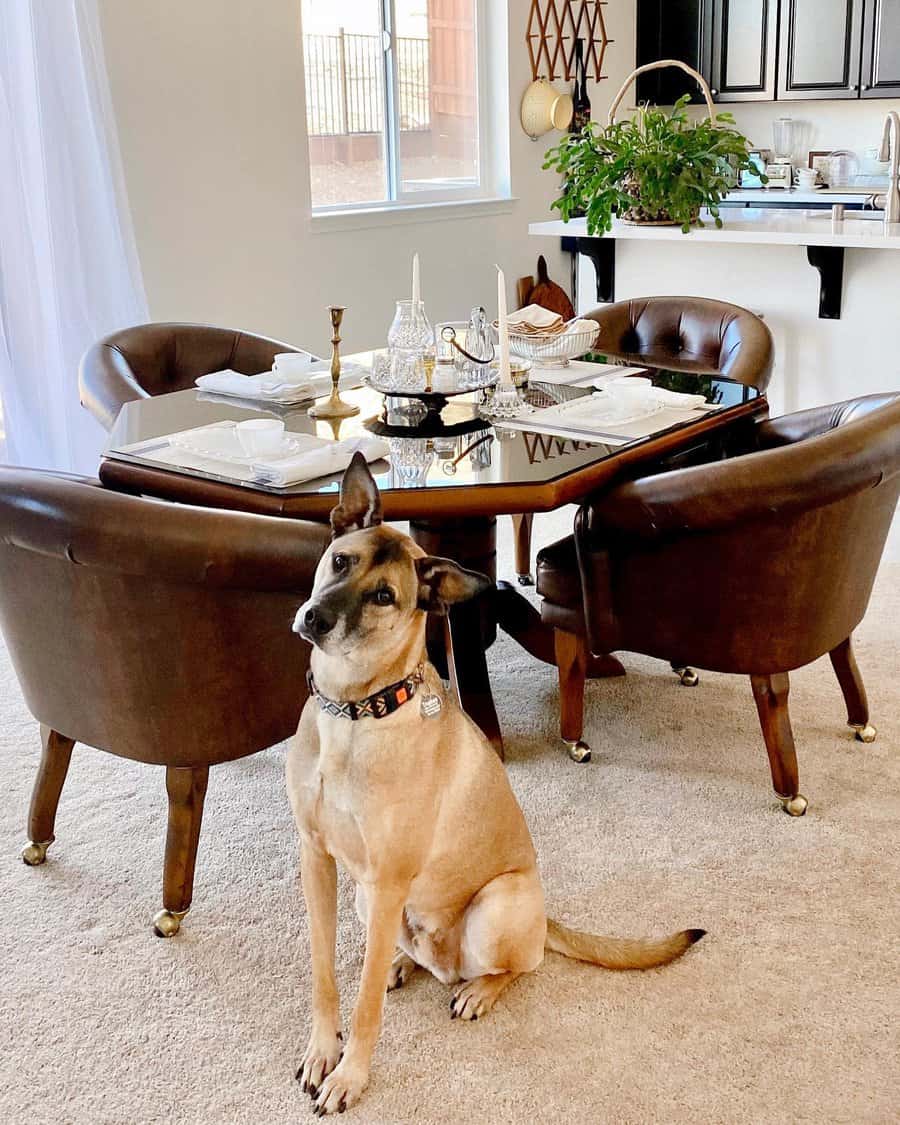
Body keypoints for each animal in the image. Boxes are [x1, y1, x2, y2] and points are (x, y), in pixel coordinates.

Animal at [284, 454, 706, 1116]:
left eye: (384, 597)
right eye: (340, 561)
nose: (314, 619)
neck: (351, 710)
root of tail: (548, 918)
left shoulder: (388, 878)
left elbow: (365, 1004)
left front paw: (350, 1076)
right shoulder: (319, 862)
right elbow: (325, 977)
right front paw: (324, 1050)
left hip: (493, 906)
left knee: (511, 968)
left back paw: (475, 990)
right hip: (366, 902)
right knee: (407, 955)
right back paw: (402, 963)